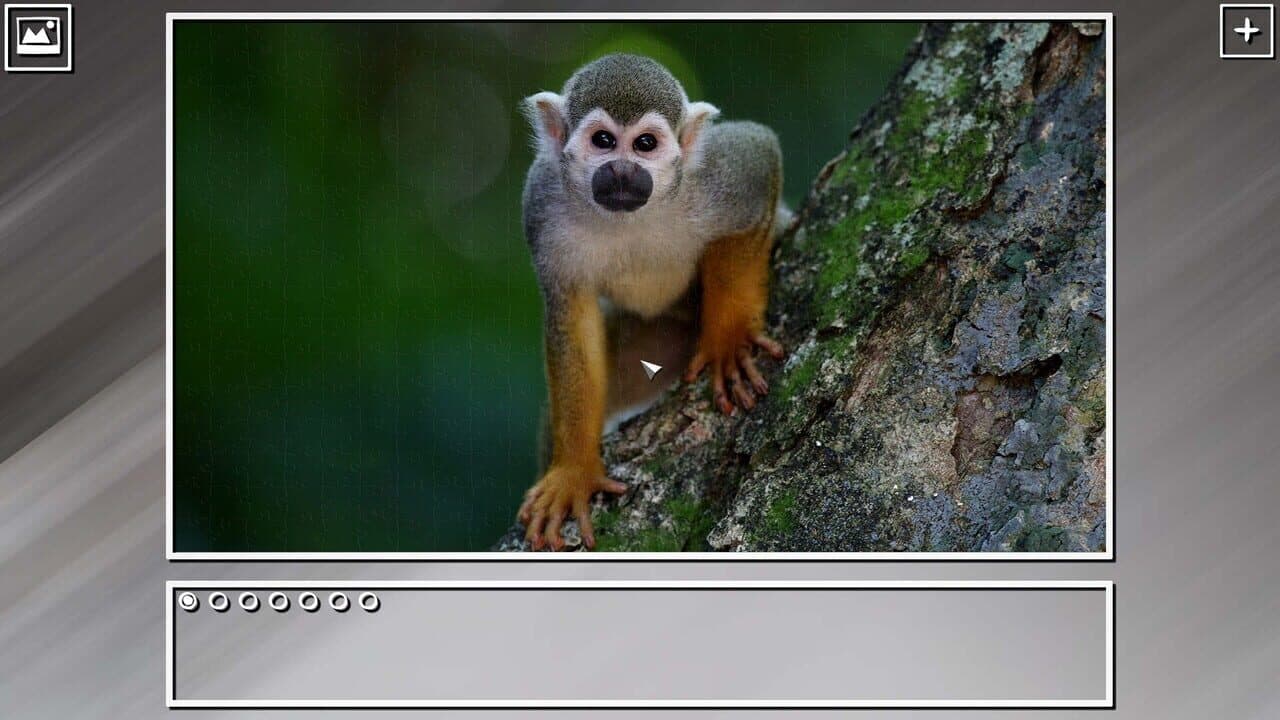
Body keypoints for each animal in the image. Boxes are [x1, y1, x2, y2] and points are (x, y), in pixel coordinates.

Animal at [517, 54, 787, 551]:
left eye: (645, 144)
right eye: (603, 141)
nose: (623, 172)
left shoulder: (714, 176)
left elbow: (759, 154)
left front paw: (728, 340)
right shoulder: (541, 203)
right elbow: (572, 318)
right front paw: (574, 471)